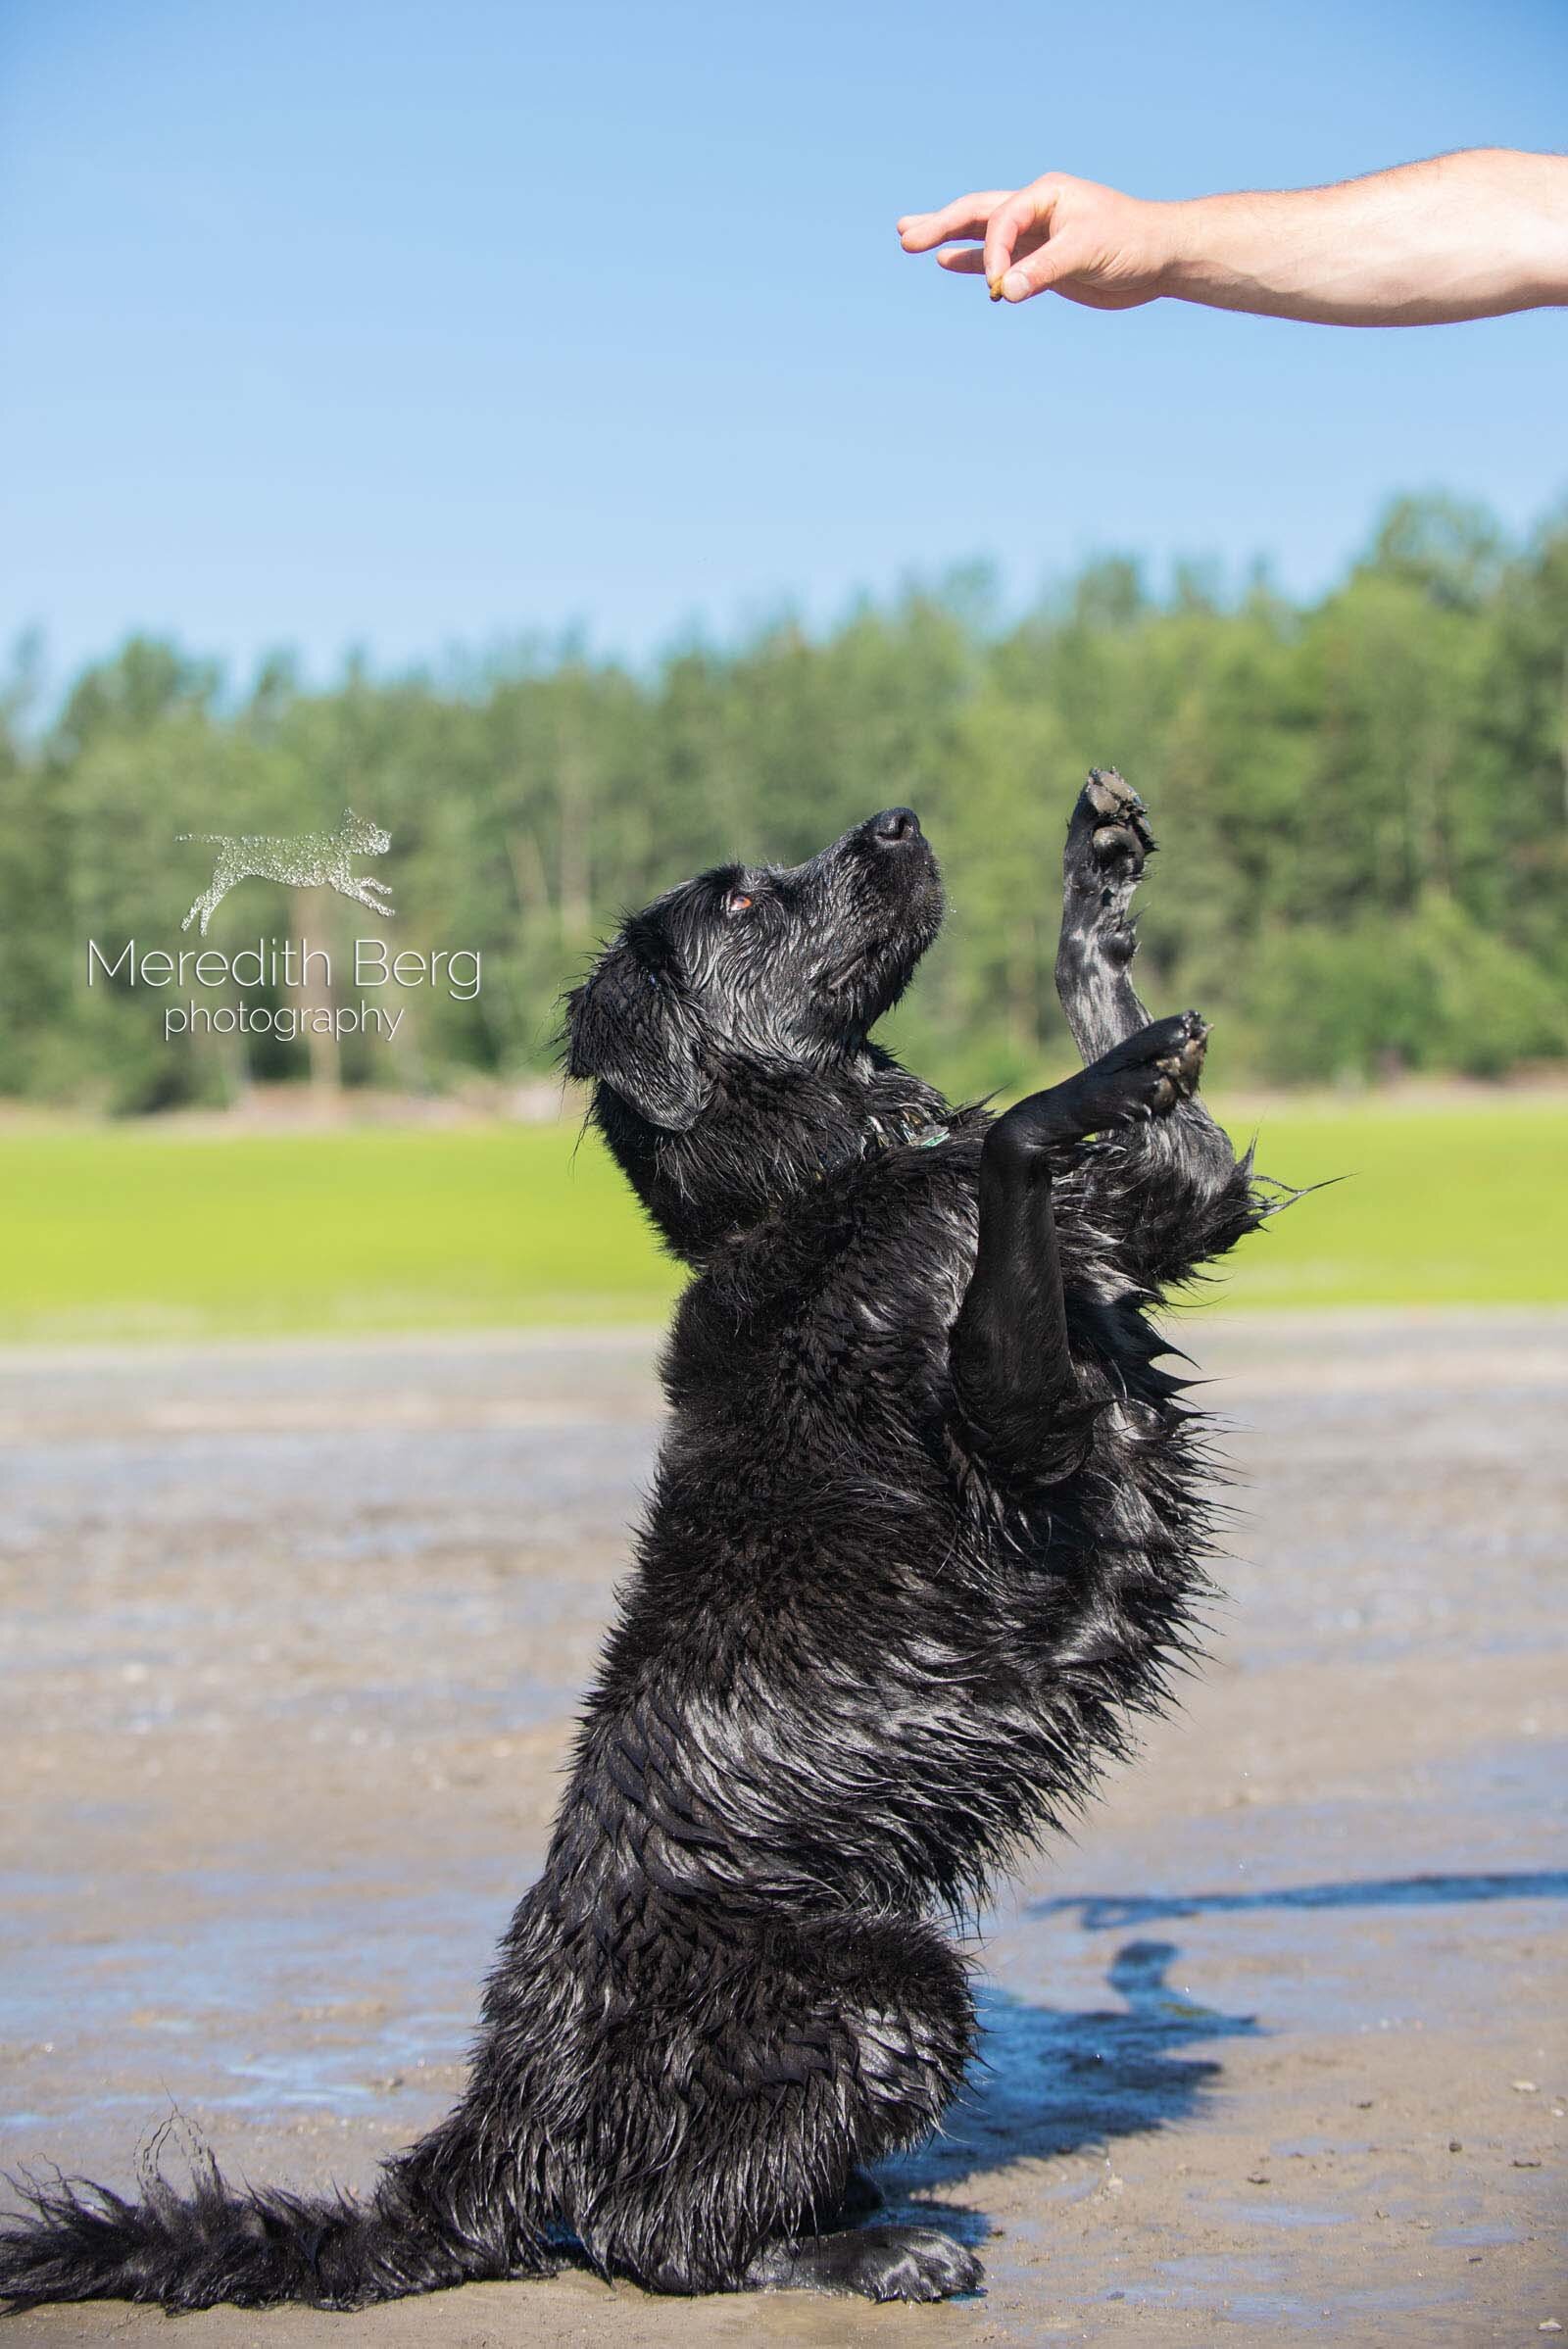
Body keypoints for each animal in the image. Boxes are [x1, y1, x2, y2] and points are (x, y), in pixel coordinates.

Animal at [0, 765, 1276, 2311]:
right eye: (741, 899)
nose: (899, 821)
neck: (824, 1187)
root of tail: (492, 2125)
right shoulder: (1021, 1428)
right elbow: (1025, 1141)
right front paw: (1086, 1080)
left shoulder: (1167, 1218)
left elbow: (1134, 1105)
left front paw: (1100, 885)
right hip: (890, 1992)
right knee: (653, 2235)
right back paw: (880, 2248)